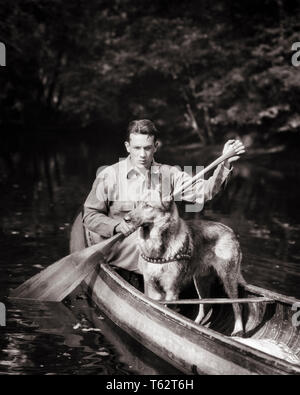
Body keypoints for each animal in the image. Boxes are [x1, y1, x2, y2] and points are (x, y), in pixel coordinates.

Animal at [126, 192, 246, 338]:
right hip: (201, 281)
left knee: (237, 305)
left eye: (148, 206)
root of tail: (231, 231)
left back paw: (238, 330)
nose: (125, 219)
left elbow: (166, 311)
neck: (157, 249)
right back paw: (197, 324)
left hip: (228, 279)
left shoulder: (171, 291)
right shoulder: (152, 286)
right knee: (205, 306)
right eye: (137, 204)